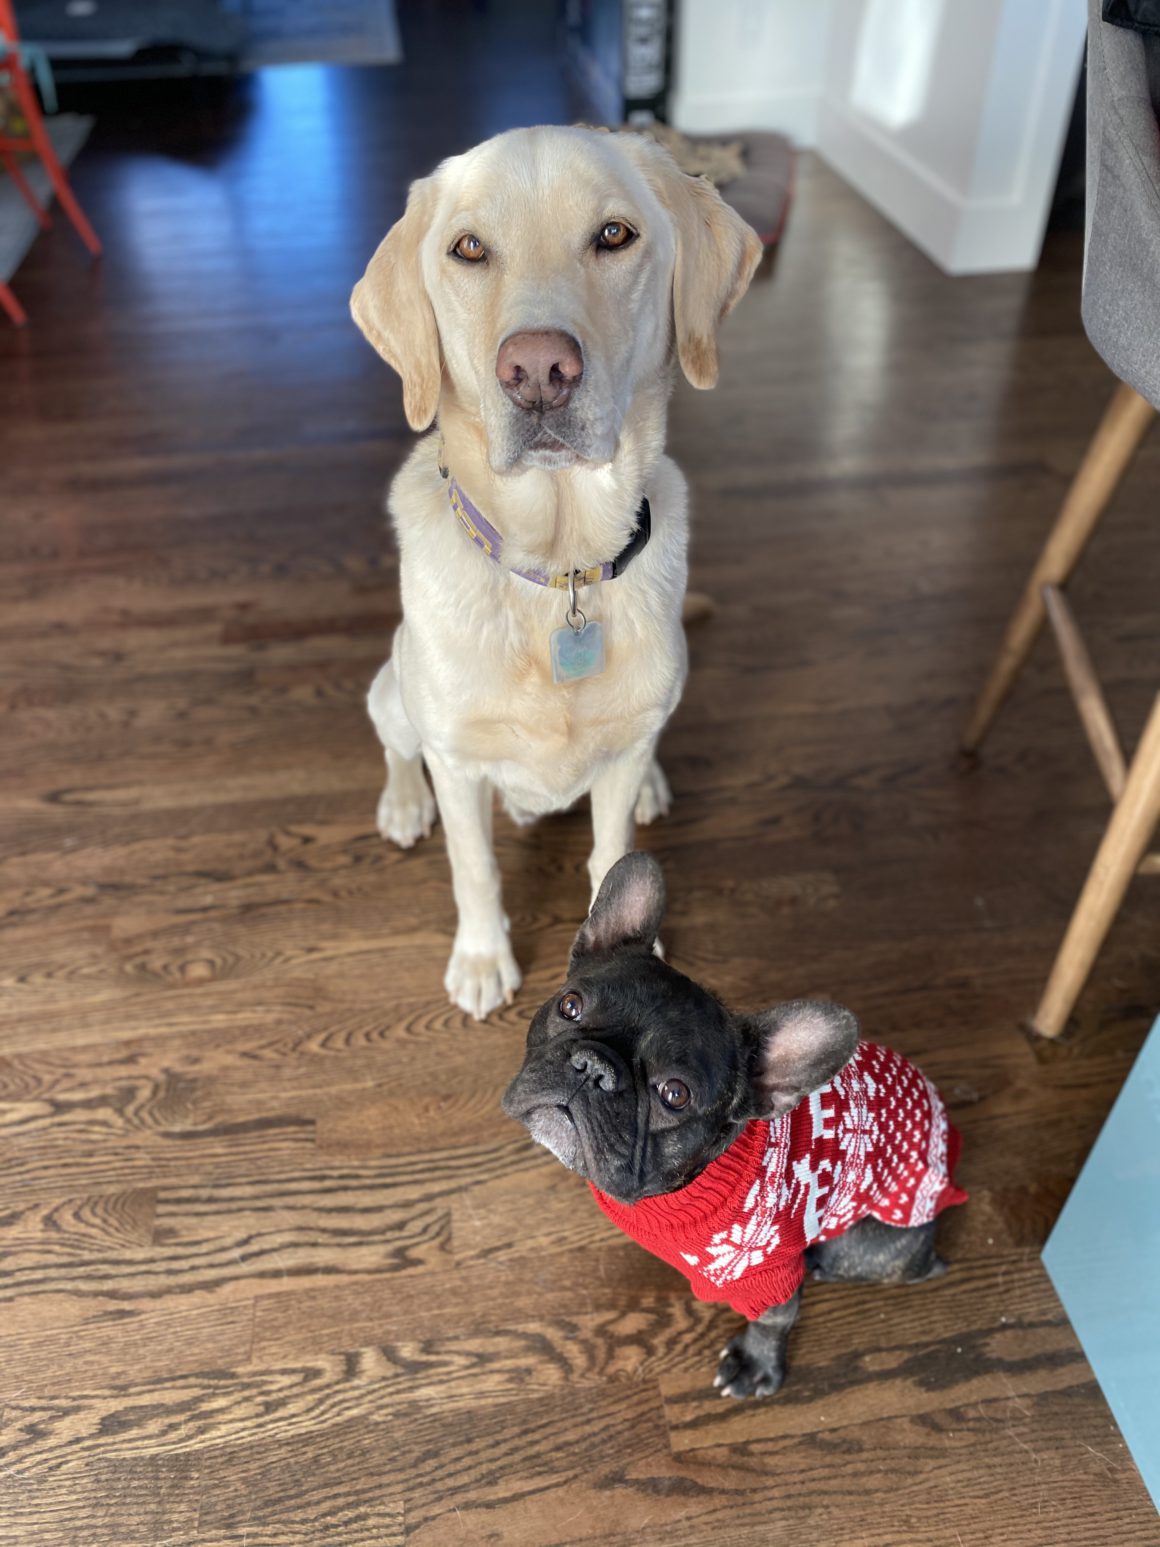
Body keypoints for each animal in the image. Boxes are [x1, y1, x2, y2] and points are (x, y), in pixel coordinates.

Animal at [352, 126, 764, 1021]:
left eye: (614, 235)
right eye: (469, 248)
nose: (538, 369)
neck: (557, 569)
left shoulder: (625, 746)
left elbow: (611, 855)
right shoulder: (458, 762)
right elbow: (475, 868)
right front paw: (482, 960)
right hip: (392, 688)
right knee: (397, 746)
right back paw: (402, 801)